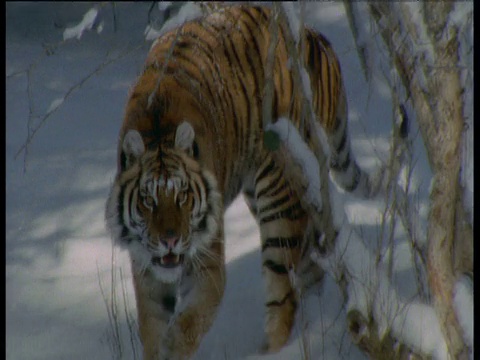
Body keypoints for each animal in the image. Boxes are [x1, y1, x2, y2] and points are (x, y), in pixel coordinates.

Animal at [106, 3, 382, 360]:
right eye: (148, 200)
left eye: (182, 197)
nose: (170, 240)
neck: (158, 129)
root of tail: (313, 37)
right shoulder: (146, 269)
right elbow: (153, 325)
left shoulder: (206, 263)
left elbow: (188, 325)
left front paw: (173, 347)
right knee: (310, 269)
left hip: (277, 195)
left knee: (283, 292)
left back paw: (275, 350)